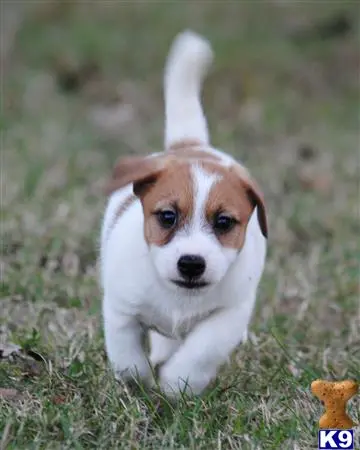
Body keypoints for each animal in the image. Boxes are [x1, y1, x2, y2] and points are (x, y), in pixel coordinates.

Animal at [100, 30, 268, 398]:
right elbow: (128, 358)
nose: (191, 263)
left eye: (224, 222)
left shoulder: (229, 315)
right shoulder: (121, 311)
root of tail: (190, 145)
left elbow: (202, 350)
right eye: (167, 217)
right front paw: (142, 384)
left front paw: (177, 384)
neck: (179, 298)